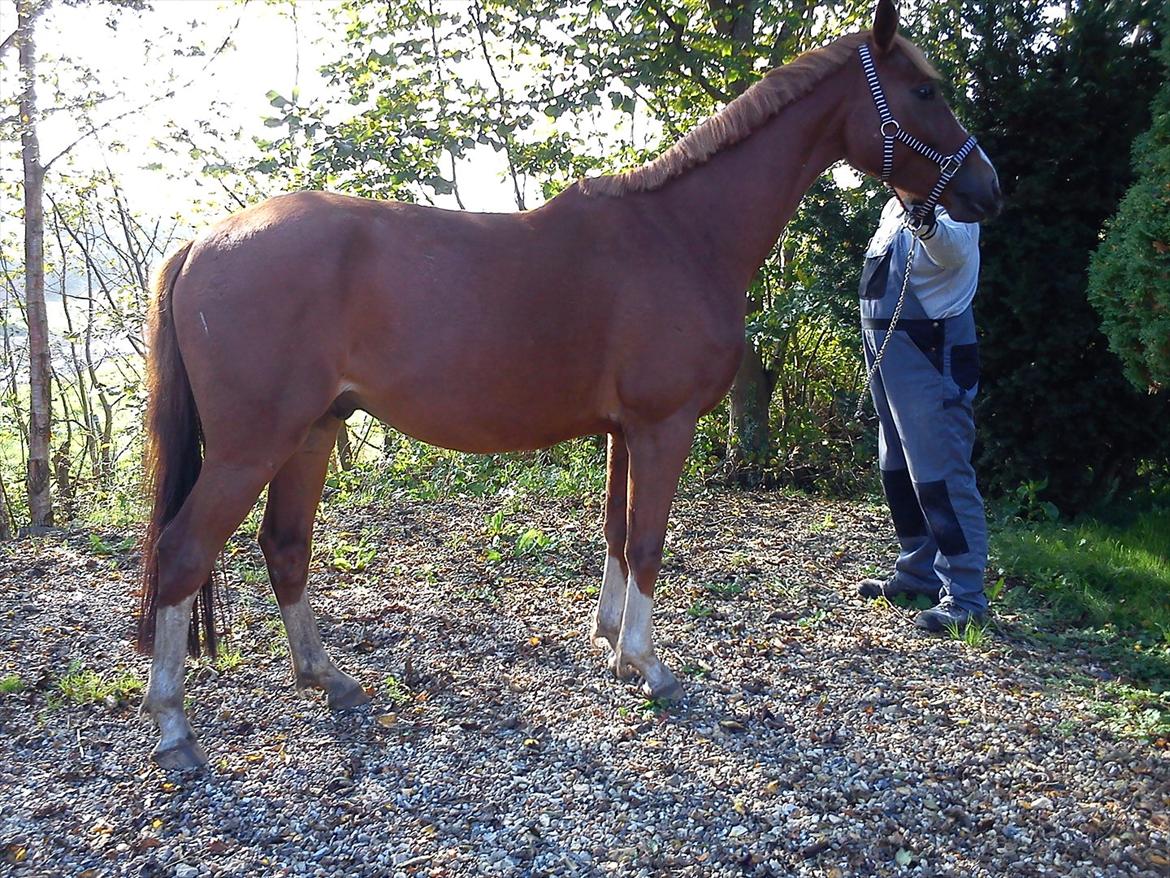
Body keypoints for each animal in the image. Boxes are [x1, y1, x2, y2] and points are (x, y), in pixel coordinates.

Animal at [134, 0, 996, 767]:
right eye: (925, 91)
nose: (986, 189)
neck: (683, 234)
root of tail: (201, 241)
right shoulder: (663, 427)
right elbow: (647, 541)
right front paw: (649, 667)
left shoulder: (623, 431)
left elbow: (616, 533)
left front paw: (610, 644)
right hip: (253, 446)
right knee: (182, 552)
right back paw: (174, 726)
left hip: (312, 432)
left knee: (284, 546)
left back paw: (327, 678)